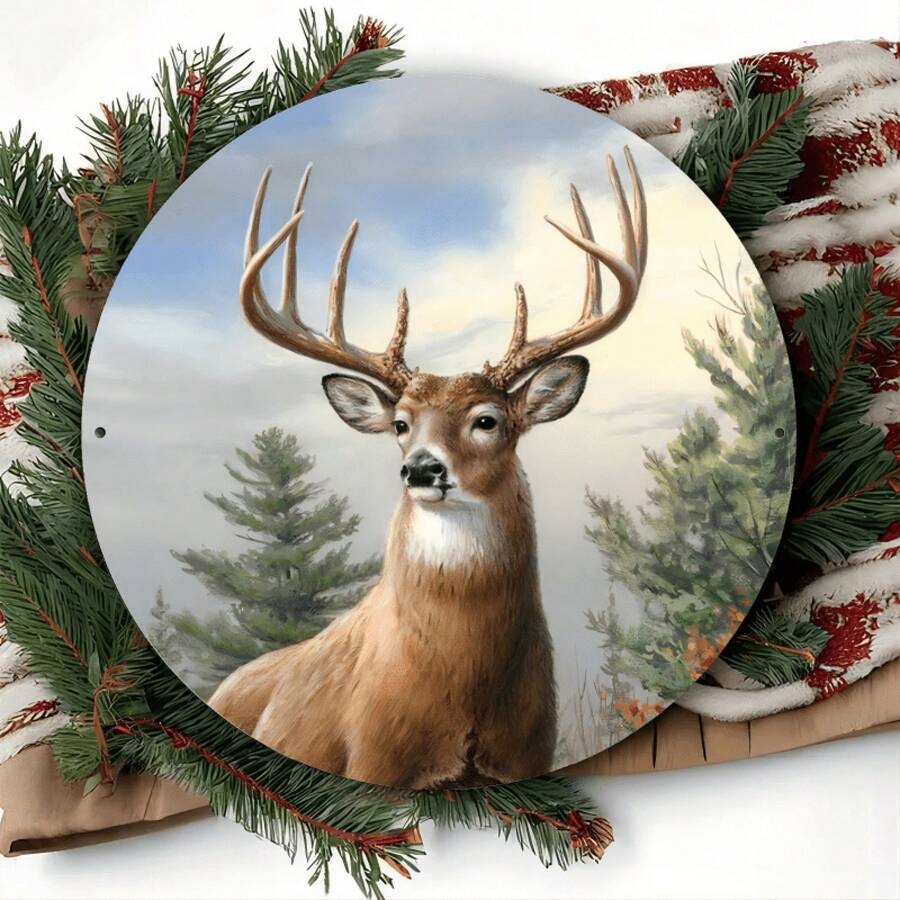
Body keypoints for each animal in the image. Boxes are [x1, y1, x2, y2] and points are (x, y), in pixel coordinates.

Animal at [209, 149, 647, 789]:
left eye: (488, 420)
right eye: (401, 424)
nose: (420, 470)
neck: (461, 685)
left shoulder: (528, 754)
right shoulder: (372, 758)